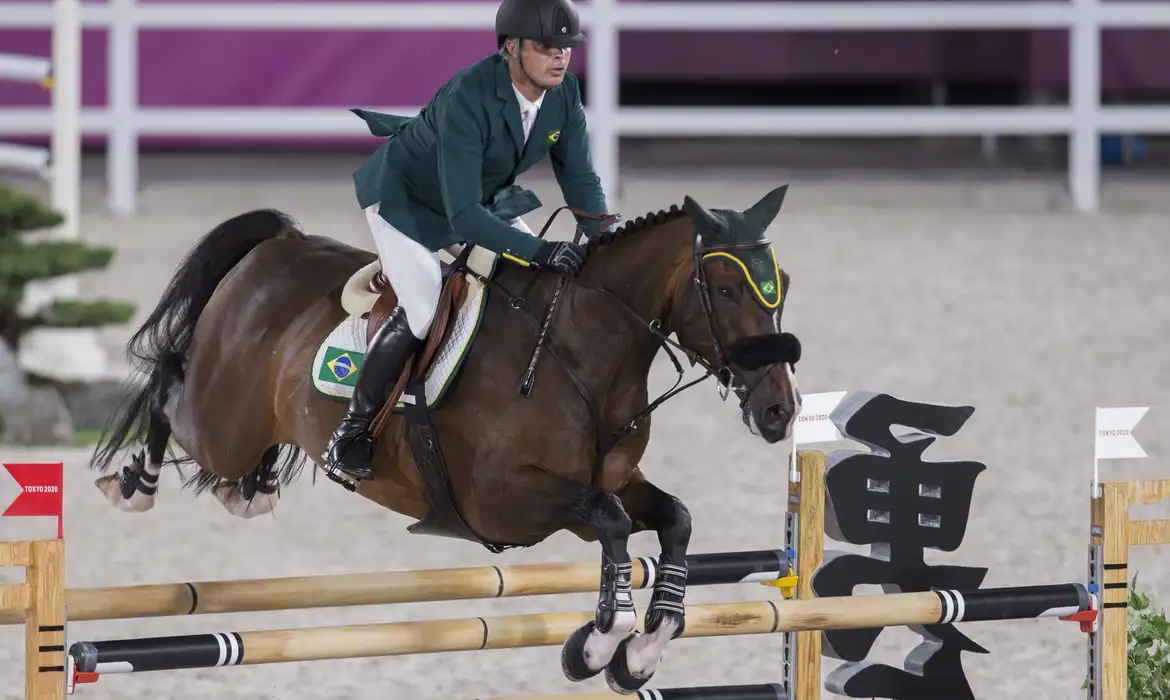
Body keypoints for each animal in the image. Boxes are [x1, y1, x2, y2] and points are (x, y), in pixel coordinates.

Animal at [88, 183, 804, 692]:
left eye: (784, 286)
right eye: (726, 288)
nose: (781, 412)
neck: (578, 355)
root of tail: (277, 247)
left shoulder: (610, 482)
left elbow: (671, 519)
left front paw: (644, 650)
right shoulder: (505, 500)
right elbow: (612, 521)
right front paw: (601, 643)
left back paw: (253, 489)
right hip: (221, 422)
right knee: (168, 384)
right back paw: (135, 484)